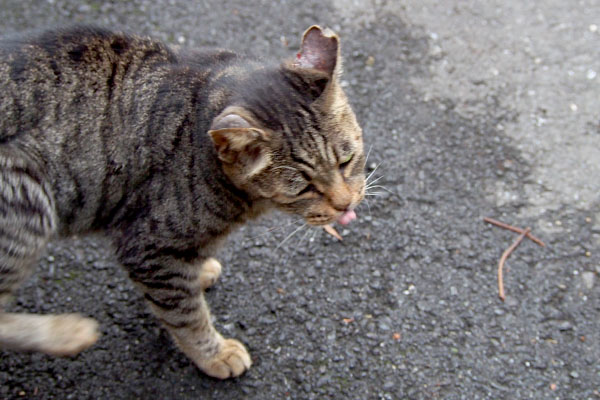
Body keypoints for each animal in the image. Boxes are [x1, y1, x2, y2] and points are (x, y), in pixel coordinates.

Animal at [0, 25, 366, 378]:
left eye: (346, 161)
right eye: (305, 188)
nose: (345, 205)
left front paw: (201, 269)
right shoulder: (149, 248)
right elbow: (186, 316)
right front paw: (214, 354)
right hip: (27, 194)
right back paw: (68, 333)